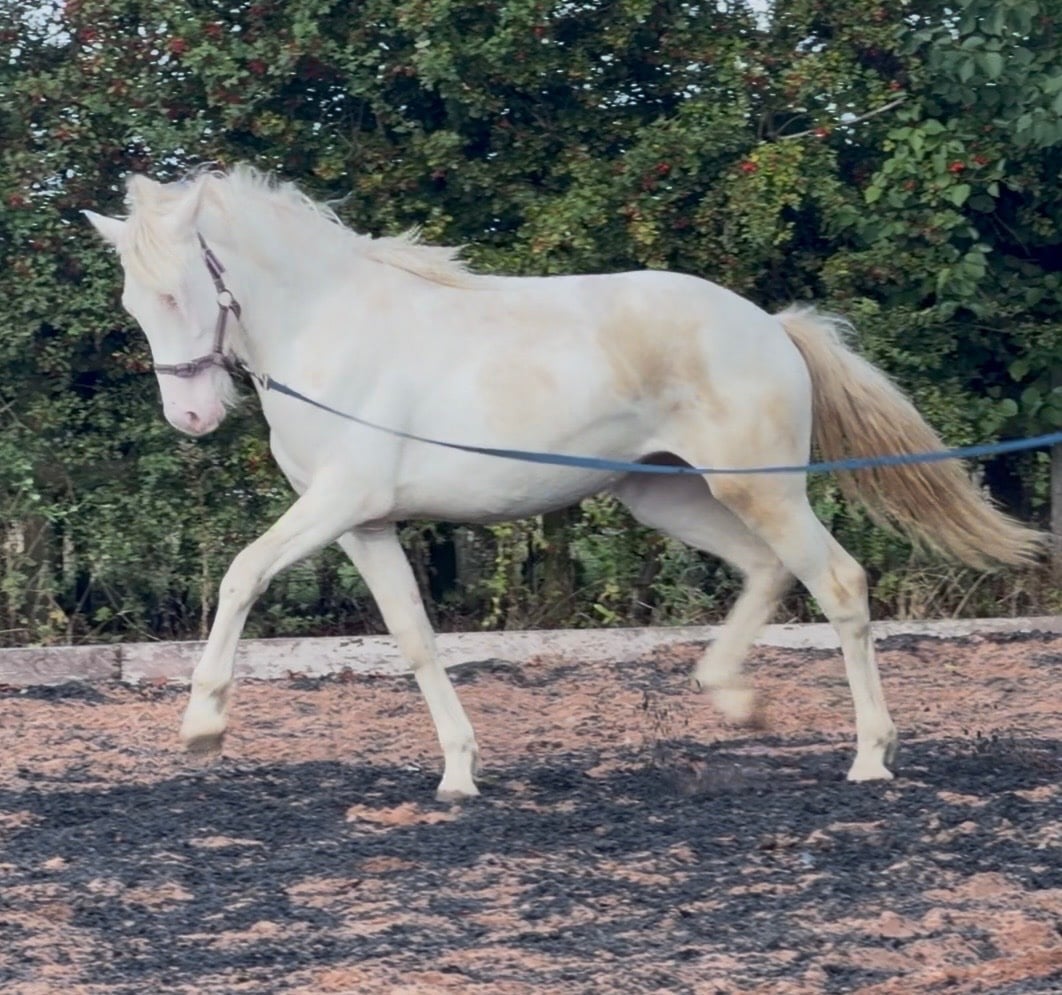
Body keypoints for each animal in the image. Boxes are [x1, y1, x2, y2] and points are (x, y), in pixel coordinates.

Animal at [84, 165, 1042, 800]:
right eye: (134, 302)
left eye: (179, 292)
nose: (193, 417)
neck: (329, 327)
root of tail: (769, 325)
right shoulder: (365, 524)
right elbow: (414, 638)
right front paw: (459, 772)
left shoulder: (337, 504)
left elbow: (240, 573)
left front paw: (203, 726)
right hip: (667, 493)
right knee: (768, 571)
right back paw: (733, 699)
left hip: (763, 488)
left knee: (838, 582)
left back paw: (871, 755)